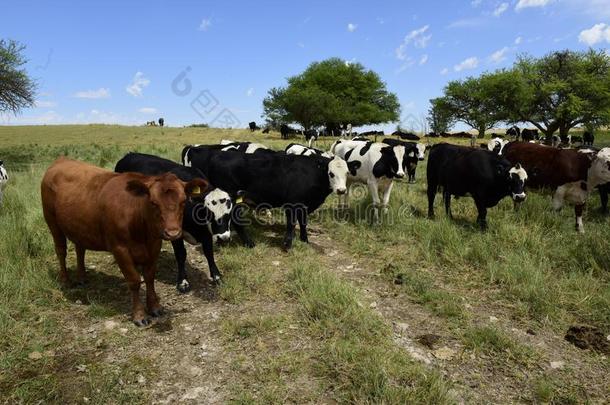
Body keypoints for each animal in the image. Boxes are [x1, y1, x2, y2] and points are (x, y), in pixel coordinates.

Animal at [41, 158, 207, 326]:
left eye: (183, 201)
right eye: (153, 202)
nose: (173, 232)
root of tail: (61, 160)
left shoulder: (154, 245)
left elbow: (149, 277)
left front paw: (155, 307)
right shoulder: (120, 249)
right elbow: (134, 280)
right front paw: (139, 315)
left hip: (79, 227)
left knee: (80, 249)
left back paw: (82, 277)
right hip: (52, 222)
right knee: (61, 250)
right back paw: (65, 280)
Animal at [114, 152, 233, 290]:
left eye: (229, 213)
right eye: (207, 213)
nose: (223, 238)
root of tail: (128, 155)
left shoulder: (206, 233)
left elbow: (209, 253)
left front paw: (216, 276)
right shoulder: (175, 232)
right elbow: (181, 254)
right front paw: (183, 282)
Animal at [182, 144, 352, 248]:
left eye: (347, 173)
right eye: (331, 173)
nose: (341, 190)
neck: (311, 172)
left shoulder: (303, 204)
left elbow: (303, 222)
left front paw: (304, 240)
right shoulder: (292, 203)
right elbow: (291, 224)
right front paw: (287, 244)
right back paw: (248, 243)